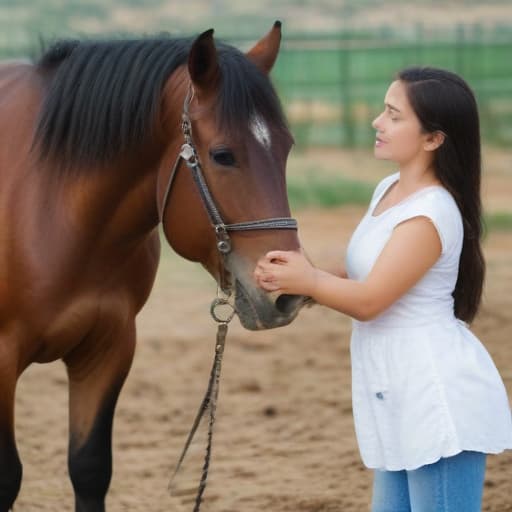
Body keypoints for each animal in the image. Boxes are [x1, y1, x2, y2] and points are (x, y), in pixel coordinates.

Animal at [0, 23, 304, 512]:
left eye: (286, 147)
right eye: (222, 155)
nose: (286, 294)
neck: (48, 200)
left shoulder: (108, 347)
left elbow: (89, 468)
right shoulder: (2, 357)